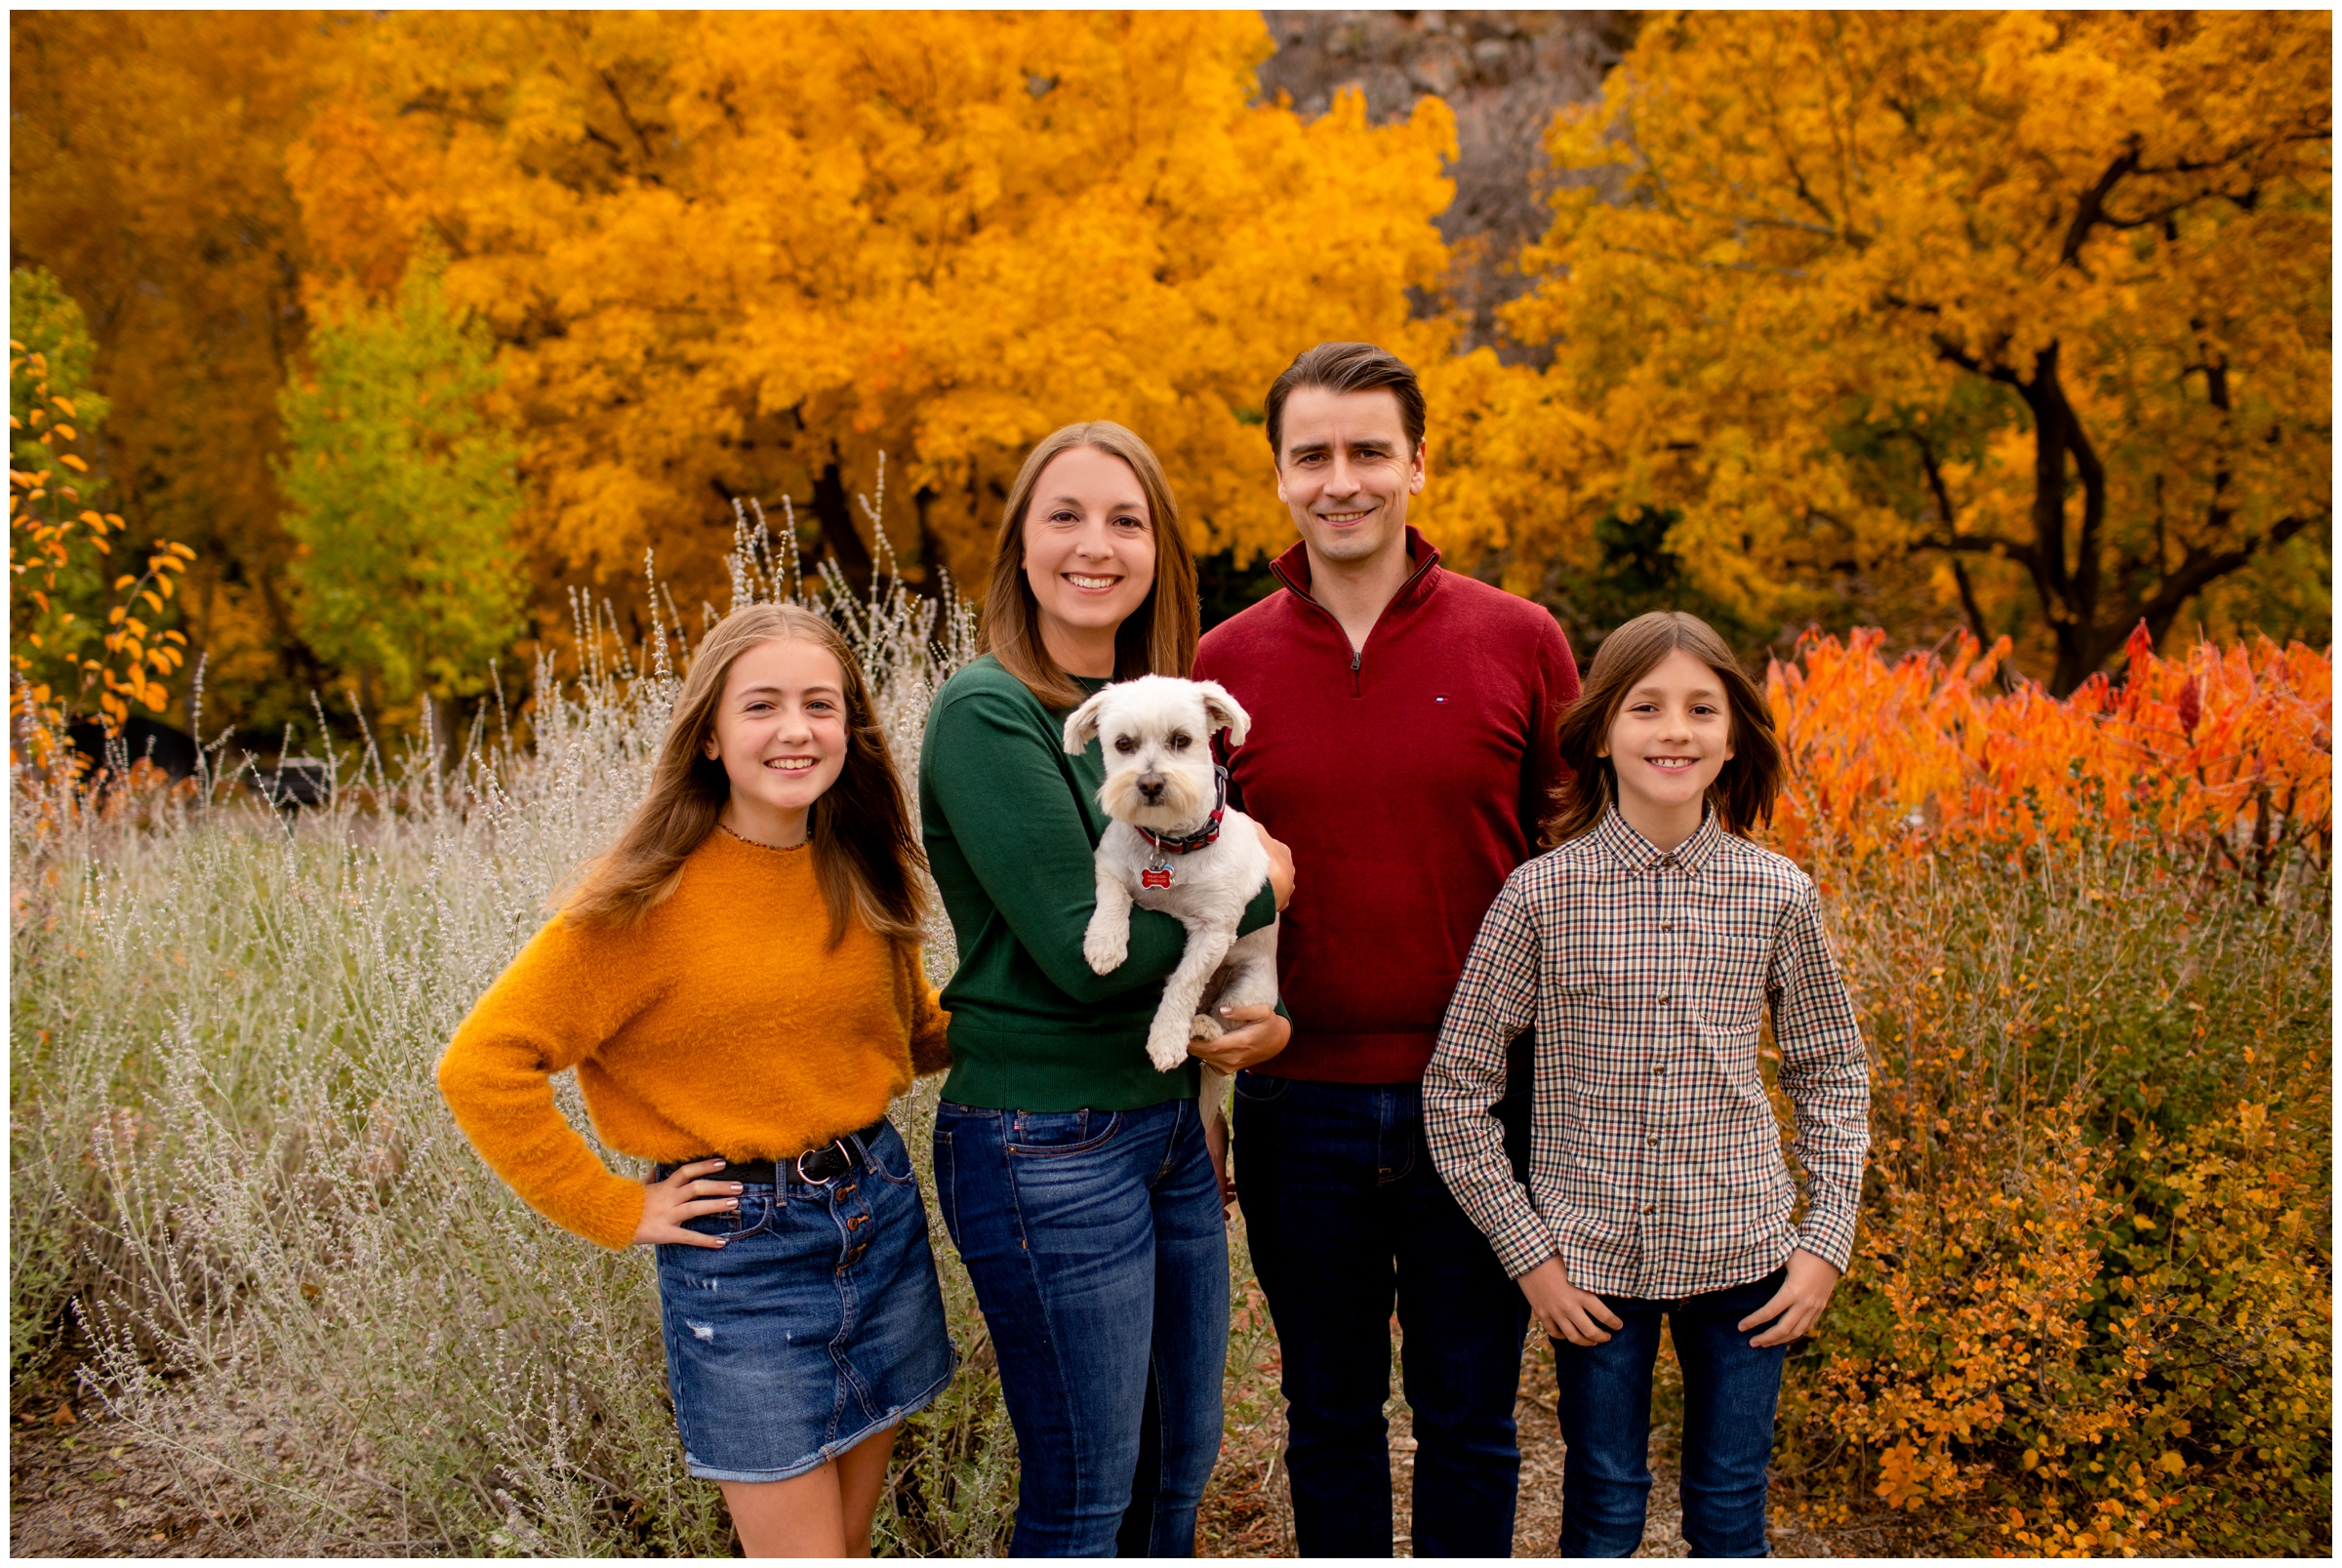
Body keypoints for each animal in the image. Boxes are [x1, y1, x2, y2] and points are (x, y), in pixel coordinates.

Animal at [1068, 673, 1283, 1155]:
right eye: (1123, 744)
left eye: (1181, 740)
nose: (1148, 783)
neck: (1168, 845)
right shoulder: (1109, 864)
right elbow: (1113, 896)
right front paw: (1105, 942)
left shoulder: (1216, 930)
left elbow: (1184, 982)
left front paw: (1167, 1036)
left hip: (1249, 992)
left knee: (1219, 1034)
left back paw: (1200, 1029)